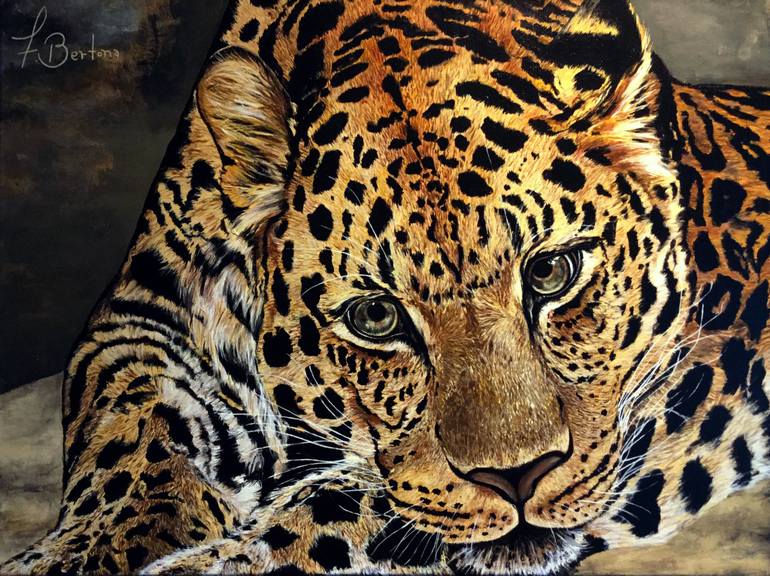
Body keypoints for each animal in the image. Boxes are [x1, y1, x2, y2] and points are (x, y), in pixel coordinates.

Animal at [3, 0, 770, 574]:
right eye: (375, 318)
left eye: (552, 273)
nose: (519, 478)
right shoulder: (147, 310)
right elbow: (130, 436)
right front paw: (76, 555)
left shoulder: (686, 375)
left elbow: (344, 510)